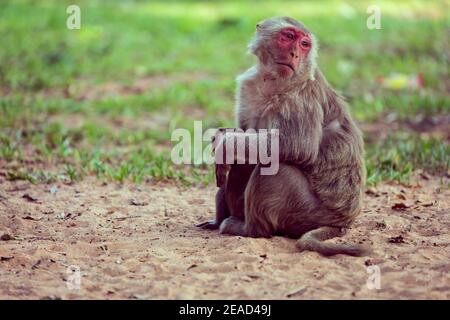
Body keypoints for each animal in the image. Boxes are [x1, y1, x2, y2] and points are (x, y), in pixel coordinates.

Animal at [197, 16, 370, 258]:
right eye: (288, 36)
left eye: (304, 44)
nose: (295, 54)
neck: (273, 80)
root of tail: (343, 222)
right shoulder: (248, 85)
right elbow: (245, 136)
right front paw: (223, 137)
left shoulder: (301, 97)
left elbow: (296, 147)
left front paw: (224, 143)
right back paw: (219, 219)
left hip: (308, 213)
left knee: (276, 167)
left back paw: (248, 229)